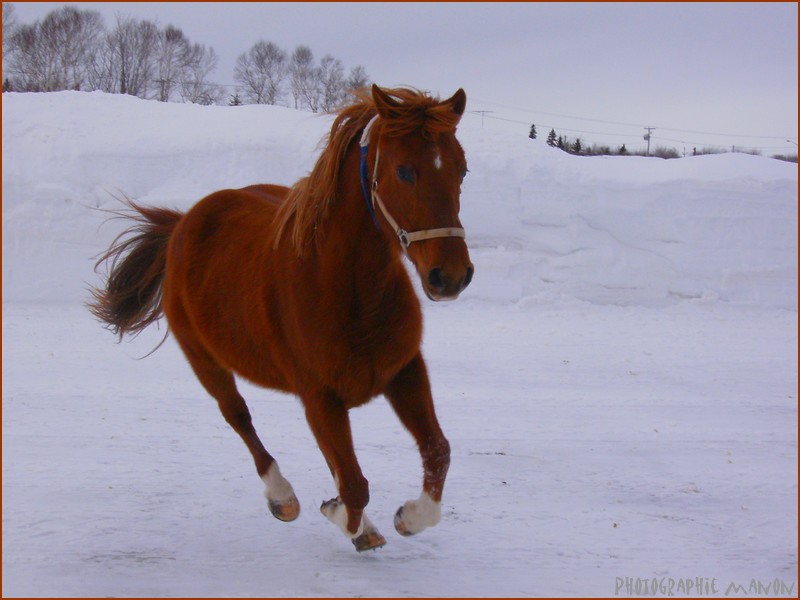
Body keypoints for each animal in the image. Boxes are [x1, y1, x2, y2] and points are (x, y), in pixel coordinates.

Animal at [90, 85, 472, 552]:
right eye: (403, 171)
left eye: (462, 169)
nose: (450, 276)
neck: (348, 291)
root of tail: (184, 223)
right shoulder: (320, 398)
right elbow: (354, 487)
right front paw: (341, 515)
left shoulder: (404, 372)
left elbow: (437, 451)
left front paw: (409, 518)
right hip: (205, 361)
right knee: (238, 416)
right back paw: (282, 497)